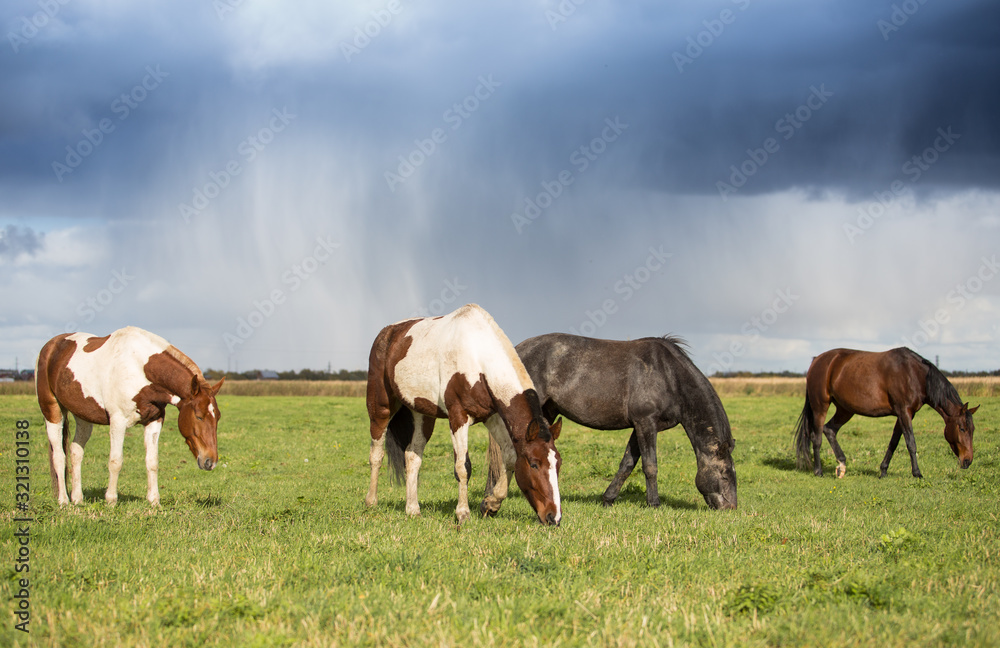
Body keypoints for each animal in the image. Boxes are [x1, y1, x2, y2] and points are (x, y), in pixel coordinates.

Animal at [35, 326, 225, 506]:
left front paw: (154, 501)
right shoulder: (118, 422)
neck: (139, 368)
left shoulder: (154, 421)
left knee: (75, 451)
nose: (211, 462)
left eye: (218, 418)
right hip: (52, 412)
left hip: (83, 416)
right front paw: (111, 501)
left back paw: (77, 499)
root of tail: (50, 347)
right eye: (199, 416)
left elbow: (152, 461)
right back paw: (63, 501)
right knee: (59, 457)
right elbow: (115, 462)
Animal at [364, 304, 563, 525]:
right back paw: (371, 502)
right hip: (380, 408)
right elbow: (463, 467)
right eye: (534, 464)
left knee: (412, 457)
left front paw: (491, 504)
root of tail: (387, 333)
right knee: (377, 454)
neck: (478, 358)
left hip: (422, 415)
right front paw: (463, 513)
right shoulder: (458, 418)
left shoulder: (492, 417)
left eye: (558, 463)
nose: (554, 517)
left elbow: (510, 457)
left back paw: (412, 509)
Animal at [480, 333, 738, 515]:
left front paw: (608, 499)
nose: (731, 508)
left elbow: (627, 464)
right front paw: (654, 504)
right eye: (725, 475)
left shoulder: (640, 427)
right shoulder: (646, 423)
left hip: (545, 413)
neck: (669, 376)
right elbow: (650, 466)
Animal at [793, 347, 978, 478]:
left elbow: (893, 443)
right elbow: (911, 443)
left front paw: (883, 471)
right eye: (962, 429)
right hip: (820, 406)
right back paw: (818, 471)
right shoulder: (904, 412)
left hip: (845, 409)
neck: (915, 375)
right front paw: (917, 473)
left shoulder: (904, 415)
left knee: (830, 430)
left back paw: (842, 465)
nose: (967, 461)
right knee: (816, 437)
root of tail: (817, 360)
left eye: (972, 430)